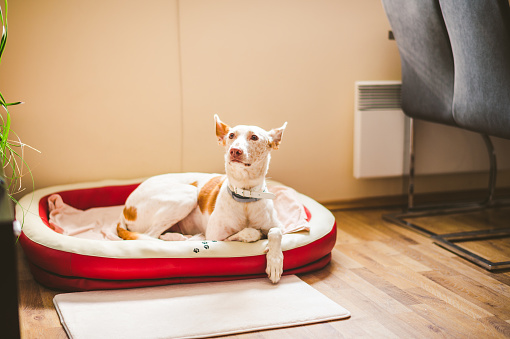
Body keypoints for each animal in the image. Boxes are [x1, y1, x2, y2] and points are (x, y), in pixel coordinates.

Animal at [117, 115, 288, 282]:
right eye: (231, 135)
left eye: (254, 137)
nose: (234, 150)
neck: (245, 196)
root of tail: (125, 209)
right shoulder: (215, 237)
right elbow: (249, 233)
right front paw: (253, 235)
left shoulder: (280, 226)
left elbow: (275, 232)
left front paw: (275, 260)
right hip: (188, 194)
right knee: (150, 236)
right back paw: (177, 237)